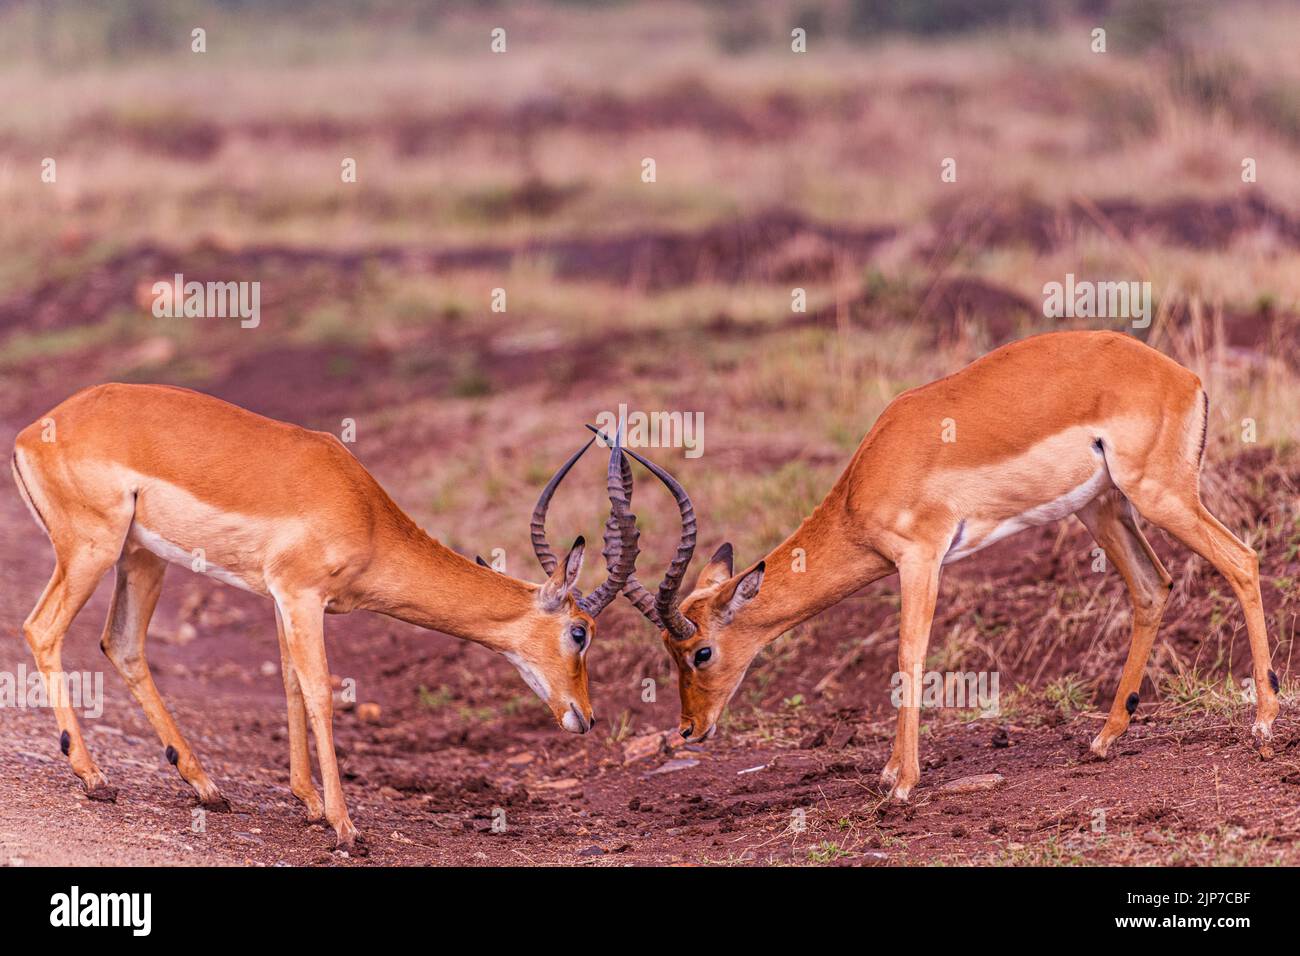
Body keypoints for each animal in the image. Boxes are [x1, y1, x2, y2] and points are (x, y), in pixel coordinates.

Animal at [10, 382, 639, 853]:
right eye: (580, 632)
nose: (584, 717)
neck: (365, 512)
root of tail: (31, 432)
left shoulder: (282, 598)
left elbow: (290, 684)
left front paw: (309, 804)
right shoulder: (301, 595)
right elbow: (319, 692)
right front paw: (346, 827)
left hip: (141, 558)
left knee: (121, 644)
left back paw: (207, 788)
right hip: (92, 549)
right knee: (42, 628)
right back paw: (95, 779)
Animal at [605, 329, 1279, 801]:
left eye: (701, 652)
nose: (689, 729)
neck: (869, 476)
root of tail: (1185, 377)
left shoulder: (920, 557)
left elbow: (909, 655)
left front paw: (902, 782)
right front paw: (889, 771)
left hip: (1159, 495)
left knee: (1242, 559)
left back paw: (1264, 726)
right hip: (1103, 508)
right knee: (1152, 586)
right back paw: (1103, 740)